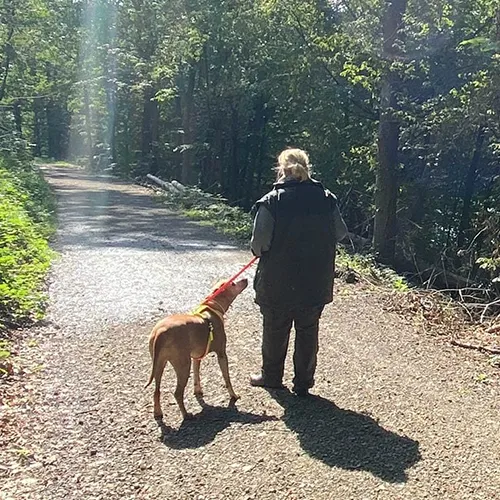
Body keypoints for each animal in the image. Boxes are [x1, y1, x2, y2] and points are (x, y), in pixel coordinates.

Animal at [145, 280, 248, 420]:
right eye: (232, 283)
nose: (246, 279)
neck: (212, 307)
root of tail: (160, 332)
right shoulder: (222, 354)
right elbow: (227, 378)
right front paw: (234, 395)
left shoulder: (196, 357)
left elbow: (197, 374)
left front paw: (198, 390)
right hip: (183, 366)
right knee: (177, 393)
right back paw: (186, 414)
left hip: (159, 364)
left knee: (156, 391)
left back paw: (158, 412)